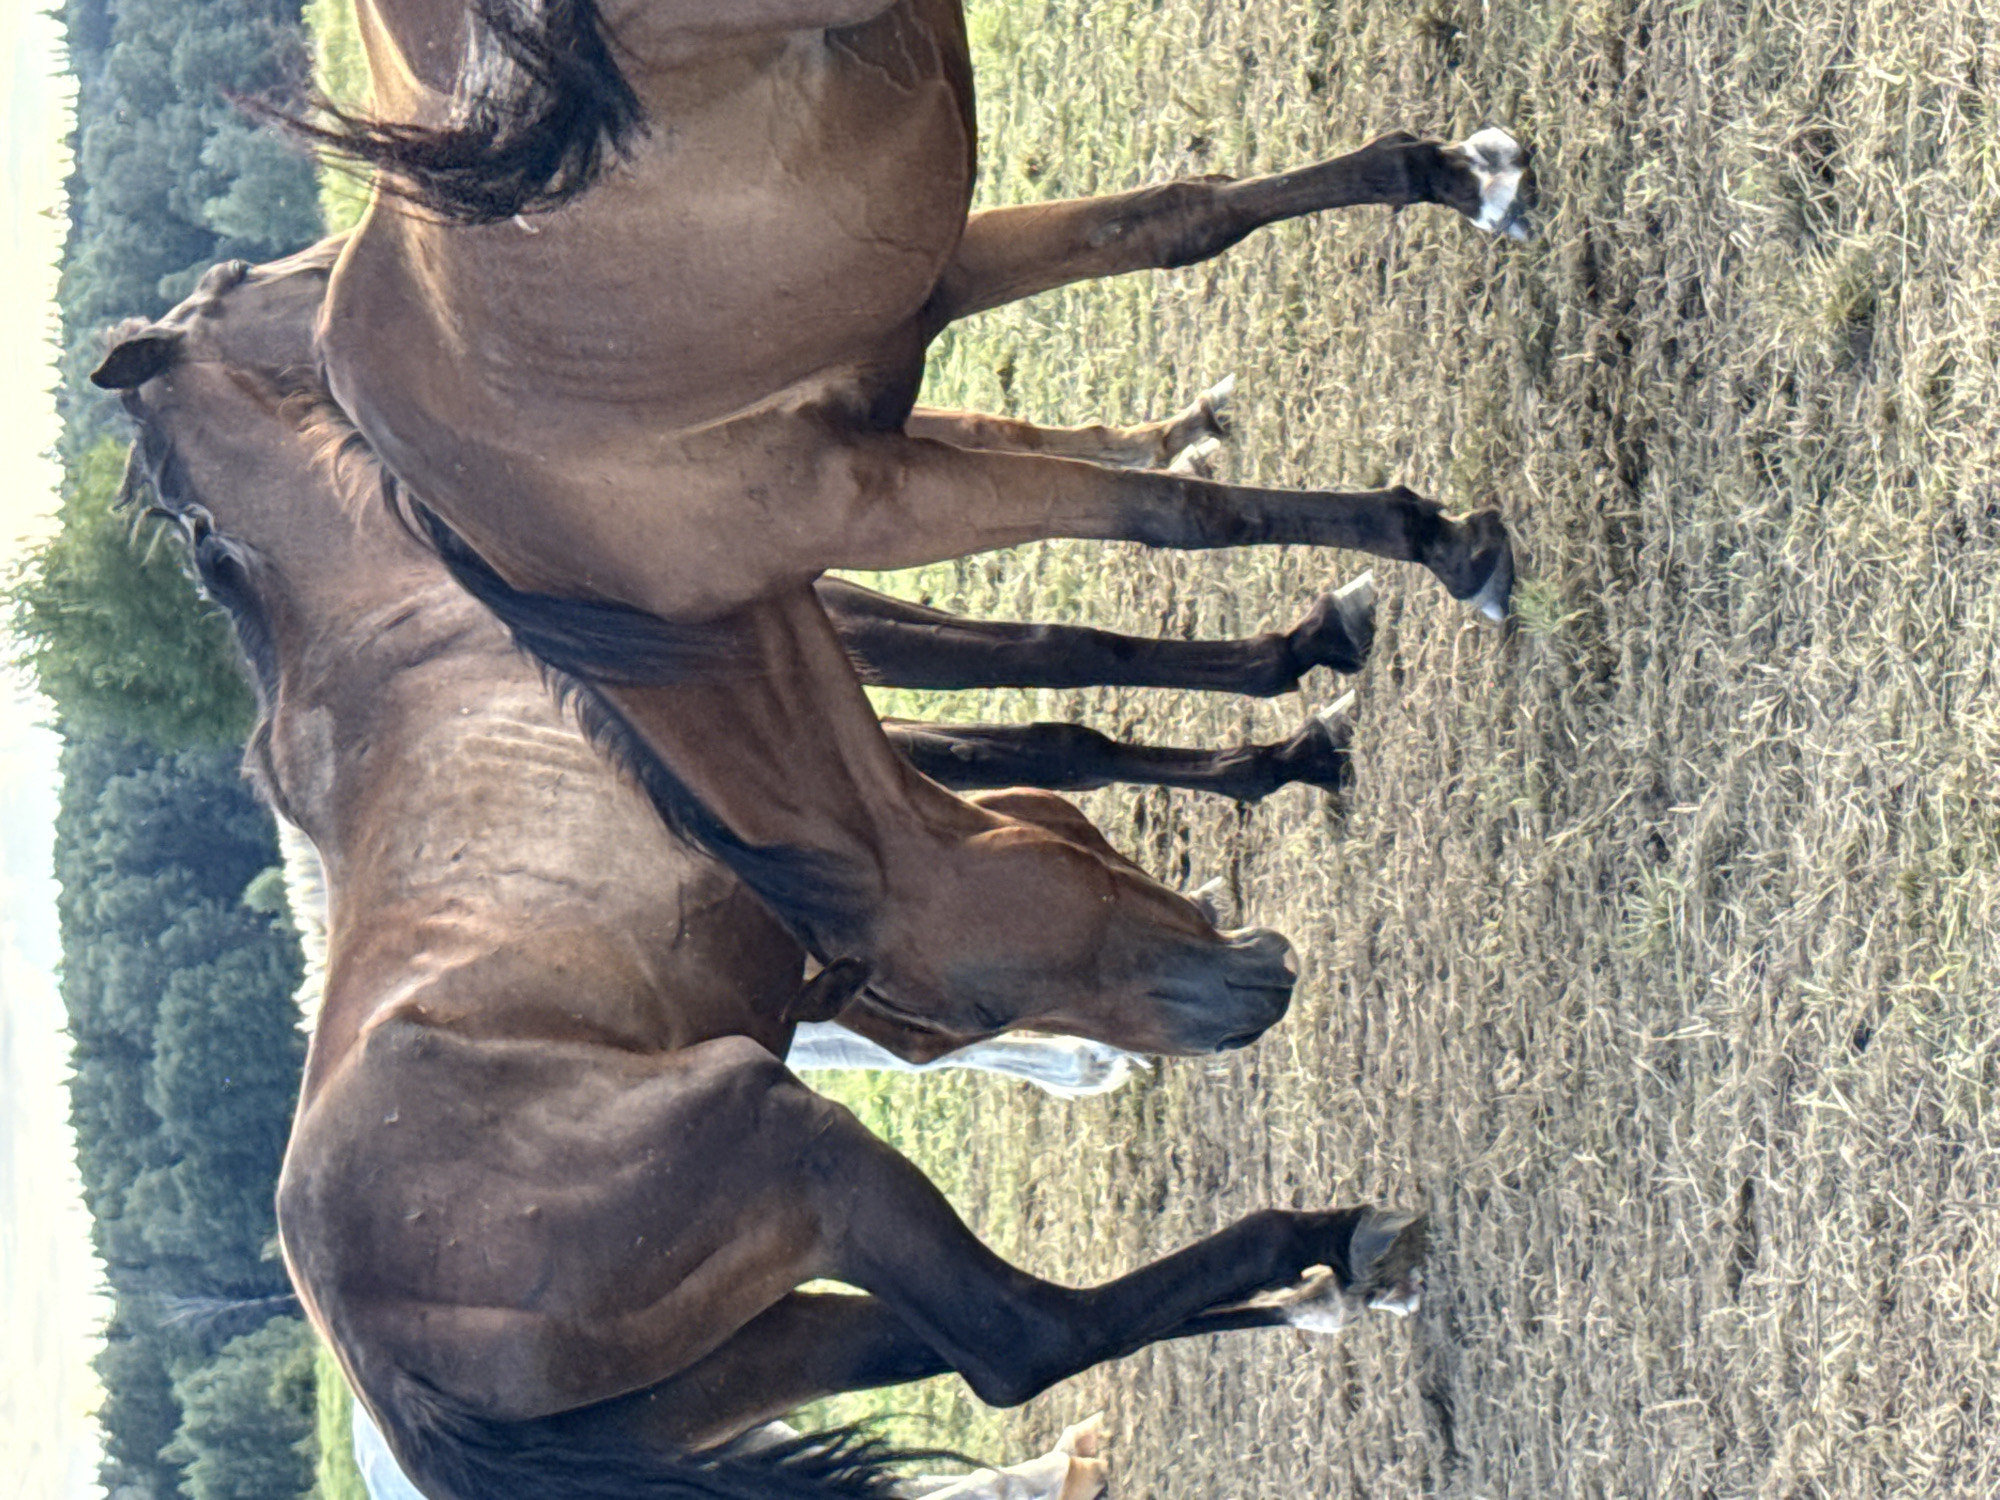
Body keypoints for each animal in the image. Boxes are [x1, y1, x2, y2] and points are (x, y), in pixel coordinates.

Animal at [92, 247, 1428, 1500]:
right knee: (1017, 1338)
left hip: (735, 1351)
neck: (380, 610)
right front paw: (1293, 719)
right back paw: (1329, 1241)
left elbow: (1045, 736)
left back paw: (1323, 1285)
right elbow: (1039, 757)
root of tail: (382, 1374)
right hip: (796, 1145)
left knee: (932, 1344)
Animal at [220, 0, 1531, 1047]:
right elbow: (1174, 225)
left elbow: (1169, 519)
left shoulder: (880, 500)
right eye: (988, 1014)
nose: (1244, 1012)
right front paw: (1454, 179)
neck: (581, 558)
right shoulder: (930, 300)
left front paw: (1440, 546)